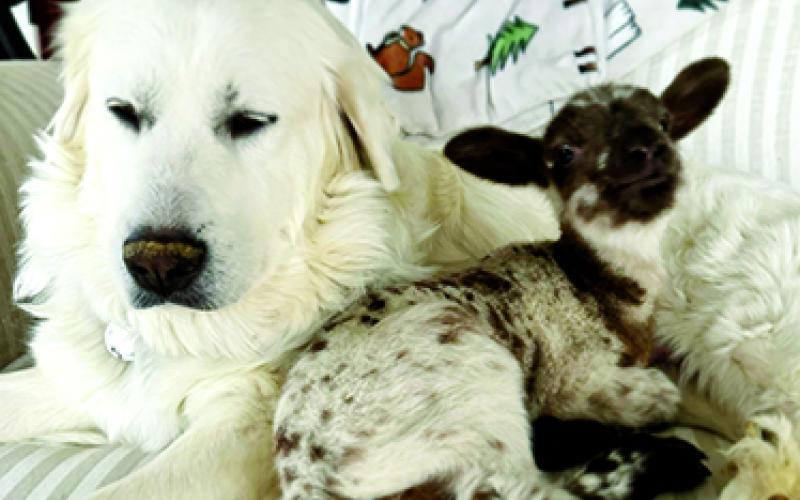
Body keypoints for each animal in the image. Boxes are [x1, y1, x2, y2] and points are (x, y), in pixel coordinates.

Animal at [271, 57, 729, 499]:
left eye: (665, 123)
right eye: (565, 152)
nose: (647, 149)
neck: (599, 291)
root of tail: (304, 473)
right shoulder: (572, 375)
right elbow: (654, 396)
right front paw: (653, 408)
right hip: (462, 381)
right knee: (511, 487)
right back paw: (660, 463)